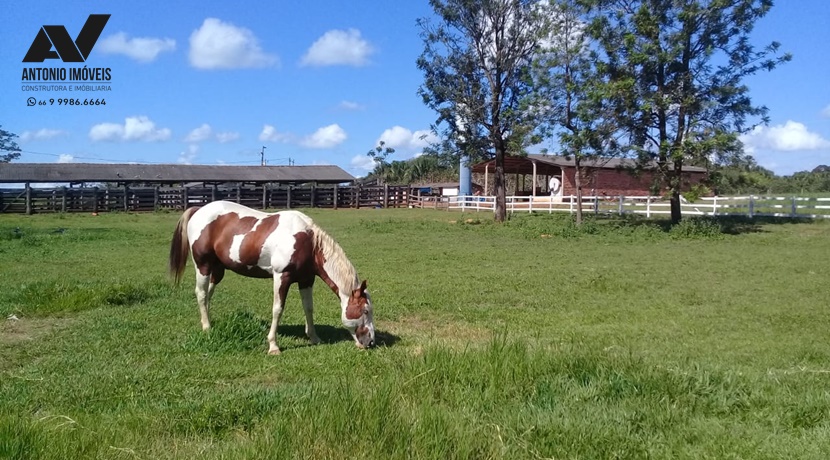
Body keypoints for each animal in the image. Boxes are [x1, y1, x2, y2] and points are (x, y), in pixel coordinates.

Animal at [169, 199, 376, 354]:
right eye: (365, 311)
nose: (371, 342)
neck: (307, 242)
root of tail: (199, 210)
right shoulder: (281, 277)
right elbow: (278, 309)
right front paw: (273, 346)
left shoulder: (306, 279)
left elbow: (308, 308)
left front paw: (314, 337)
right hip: (203, 265)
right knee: (201, 293)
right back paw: (207, 328)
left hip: (218, 270)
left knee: (208, 295)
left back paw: (209, 321)